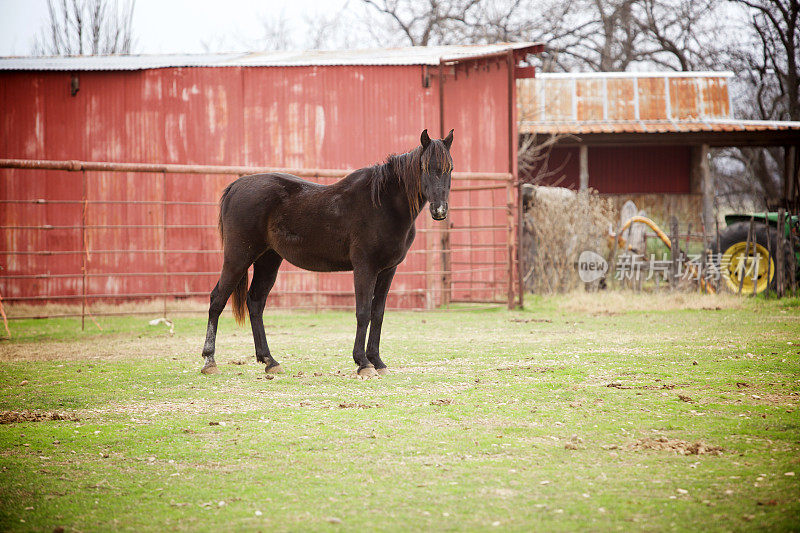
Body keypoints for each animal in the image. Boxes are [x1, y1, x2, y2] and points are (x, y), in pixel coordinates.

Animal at [199, 128, 454, 378]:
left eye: (449, 168)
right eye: (425, 167)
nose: (440, 210)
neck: (382, 203)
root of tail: (236, 187)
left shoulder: (388, 270)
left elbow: (378, 313)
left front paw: (377, 361)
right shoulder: (365, 267)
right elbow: (363, 312)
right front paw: (363, 363)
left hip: (268, 260)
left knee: (255, 303)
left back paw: (270, 361)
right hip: (238, 258)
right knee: (217, 300)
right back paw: (210, 361)